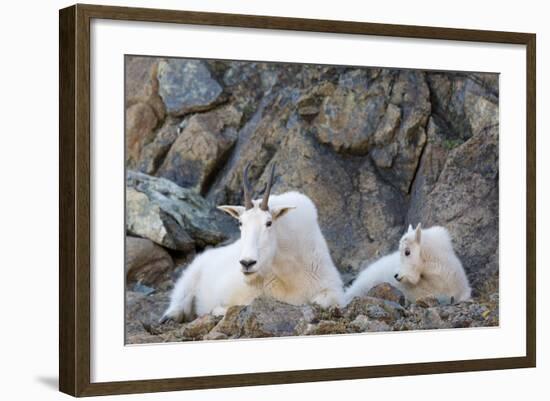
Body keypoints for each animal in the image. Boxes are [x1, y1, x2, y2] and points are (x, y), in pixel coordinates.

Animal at [160, 162, 348, 322]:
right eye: (240, 223)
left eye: (269, 223)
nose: (247, 263)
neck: (291, 274)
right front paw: (218, 310)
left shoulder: (332, 289)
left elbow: (321, 301)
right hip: (191, 277)